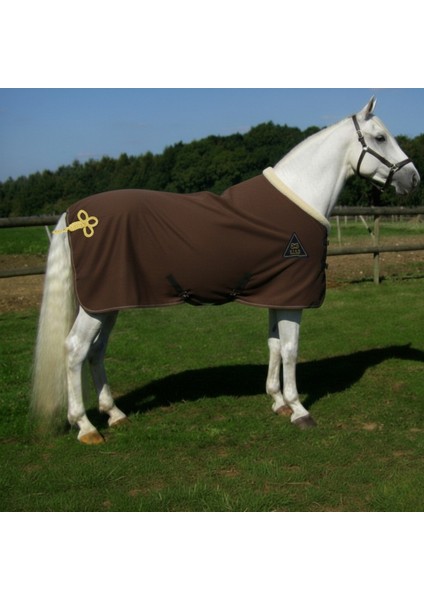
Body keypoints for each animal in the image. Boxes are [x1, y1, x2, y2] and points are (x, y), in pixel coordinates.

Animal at [31, 97, 420, 444]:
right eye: (380, 137)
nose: (414, 179)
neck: (300, 195)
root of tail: (74, 215)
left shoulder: (277, 293)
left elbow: (274, 345)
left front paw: (277, 401)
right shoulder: (293, 297)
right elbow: (291, 349)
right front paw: (298, 409)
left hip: (108, 302)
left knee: (96, 351)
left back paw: (114, 414)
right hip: (96, 306)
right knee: (75, 349)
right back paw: (85, 427)